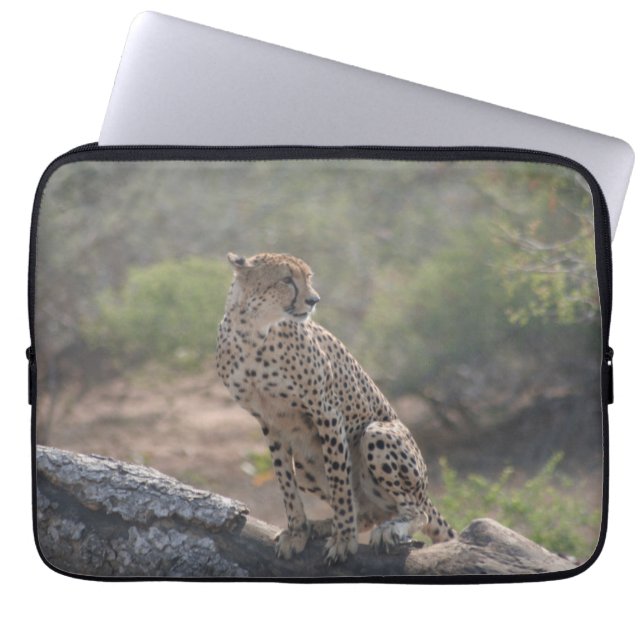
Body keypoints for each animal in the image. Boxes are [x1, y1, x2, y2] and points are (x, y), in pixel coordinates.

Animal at [215, 251, 456, 564]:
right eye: (286, 280)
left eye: (308, 277)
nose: (313, 300)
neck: (253, 331)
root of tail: (425, 493)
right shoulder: (270, 421)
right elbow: (285, 481)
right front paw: (297, 531)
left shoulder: (325, 411)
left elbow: (340, 482)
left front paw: (343, 539)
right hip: (305, 462)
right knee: (371, 512)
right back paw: (320, 525)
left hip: (378, 434)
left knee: (417, 512)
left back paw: (389, 529)